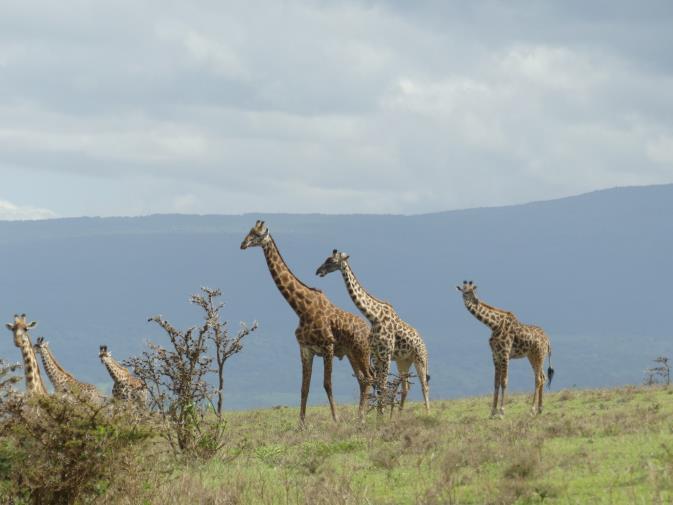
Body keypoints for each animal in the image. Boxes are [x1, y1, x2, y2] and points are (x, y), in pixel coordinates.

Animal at [240, 219, 372, 424]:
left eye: (258, 234)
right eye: (249, 232)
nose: (243, 244)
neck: (301, 309)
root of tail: (368, 329)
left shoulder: (328, 346)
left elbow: (327, 384)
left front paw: (335, 419)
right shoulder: (305, 349)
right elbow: (304, 387)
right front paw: (301, 424)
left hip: (362, 351)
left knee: (369, 378)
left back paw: (363, 418)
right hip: (351, 353)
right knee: (362, 379)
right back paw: (360, 417)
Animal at [316, 249, 430, 414]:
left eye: (331, 261)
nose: (318, 271)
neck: (373, 317)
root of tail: (424, 344)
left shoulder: (386, 354)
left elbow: (382, 386)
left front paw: (381, 416)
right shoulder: (376, 356)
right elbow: (379, 386)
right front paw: (379, 416)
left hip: (420, 358)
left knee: (424, 385)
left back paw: (428, 413)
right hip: (403, 361)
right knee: (406, 387)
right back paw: (399, 415)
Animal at [454, 280, 552, 418]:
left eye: (473, 291)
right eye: (465, 291)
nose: (476, 300)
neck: (493, 325)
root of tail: (548, 340)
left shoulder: (505, 354)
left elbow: (504, 381)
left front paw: (501, 412)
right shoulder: (495, 355)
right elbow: (496, 382)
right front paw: (492, 412)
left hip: (539, 354)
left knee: (538, 379)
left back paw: (532, 410)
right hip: (532, 356)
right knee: (542, 377)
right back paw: (540, 409)